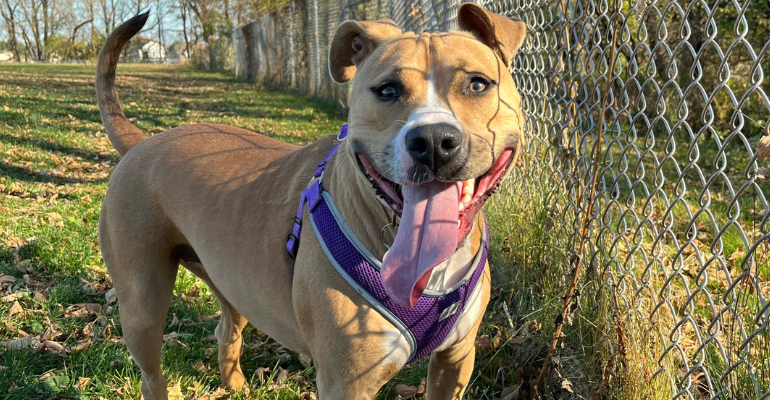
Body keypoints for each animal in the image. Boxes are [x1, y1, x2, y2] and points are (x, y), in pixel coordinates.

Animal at [96, 3, 524, 400]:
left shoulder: (456, 360)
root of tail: (144, 141)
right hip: (142, 307)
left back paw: (235, 384)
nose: (433, 140)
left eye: (478, 84)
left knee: (226, 329)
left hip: (231, 283)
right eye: (387, 90)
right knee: (151, 374)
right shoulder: (346, 384)